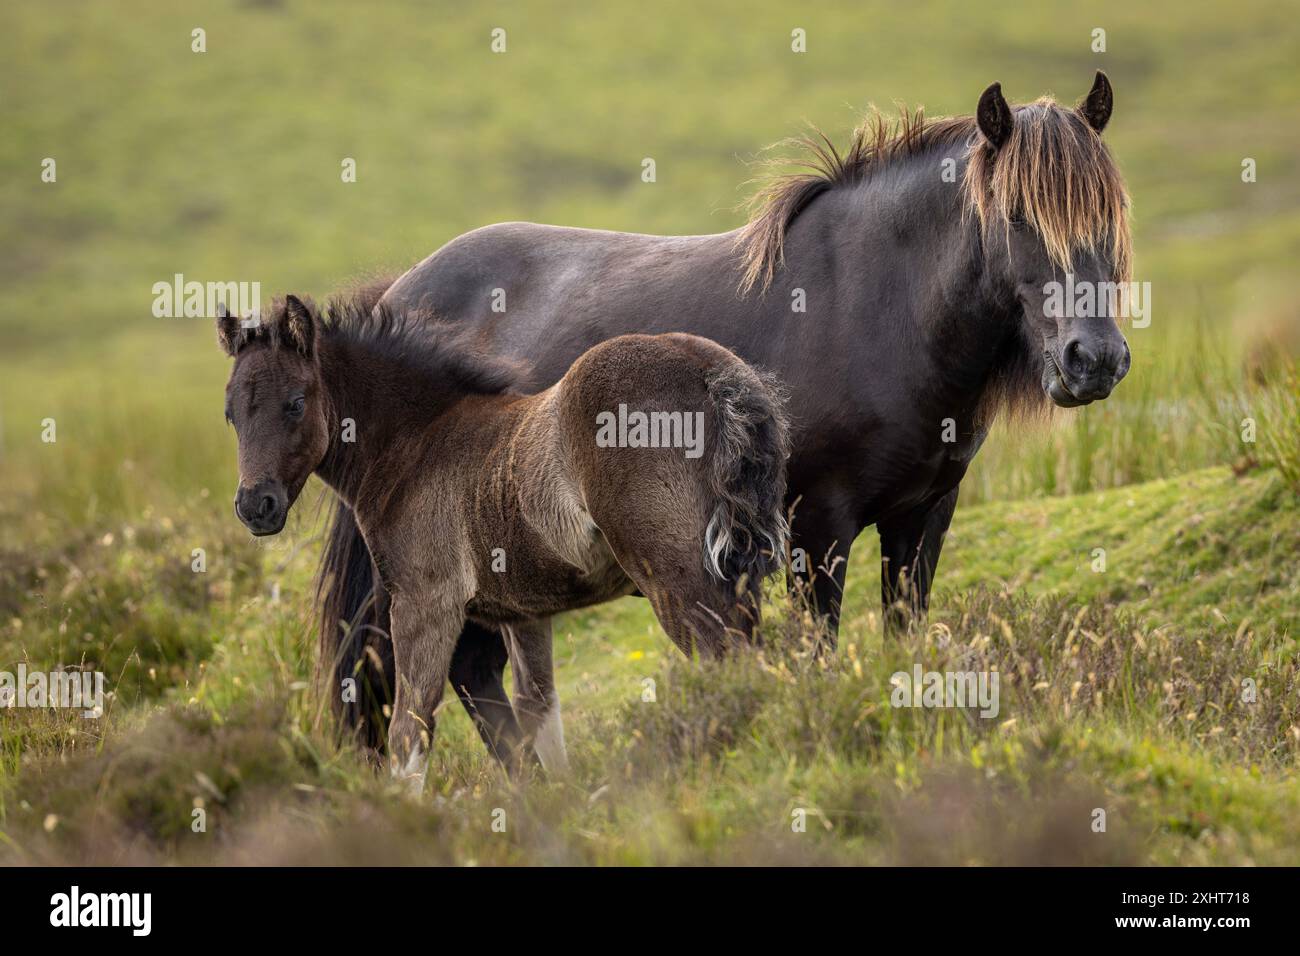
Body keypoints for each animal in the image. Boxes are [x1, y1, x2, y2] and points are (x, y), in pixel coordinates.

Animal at [218, 297, 785, 785]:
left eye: (295, 404)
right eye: (230, 414)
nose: (255, 506)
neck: (415, 445)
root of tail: (707, 369)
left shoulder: (426, 603)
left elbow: (410, 731)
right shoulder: (524, 612)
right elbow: (538, 710)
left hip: (674, 577)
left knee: (726, 660)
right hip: (736, 572)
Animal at [319, 72, 1133, 754]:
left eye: (1109, 214)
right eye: (1018, 215)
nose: (1093, 359)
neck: (873, 309)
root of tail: (405, 289)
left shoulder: (923, 517)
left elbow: (903, 641)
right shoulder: (816, 526)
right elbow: (816, 654)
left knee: (473, 670)